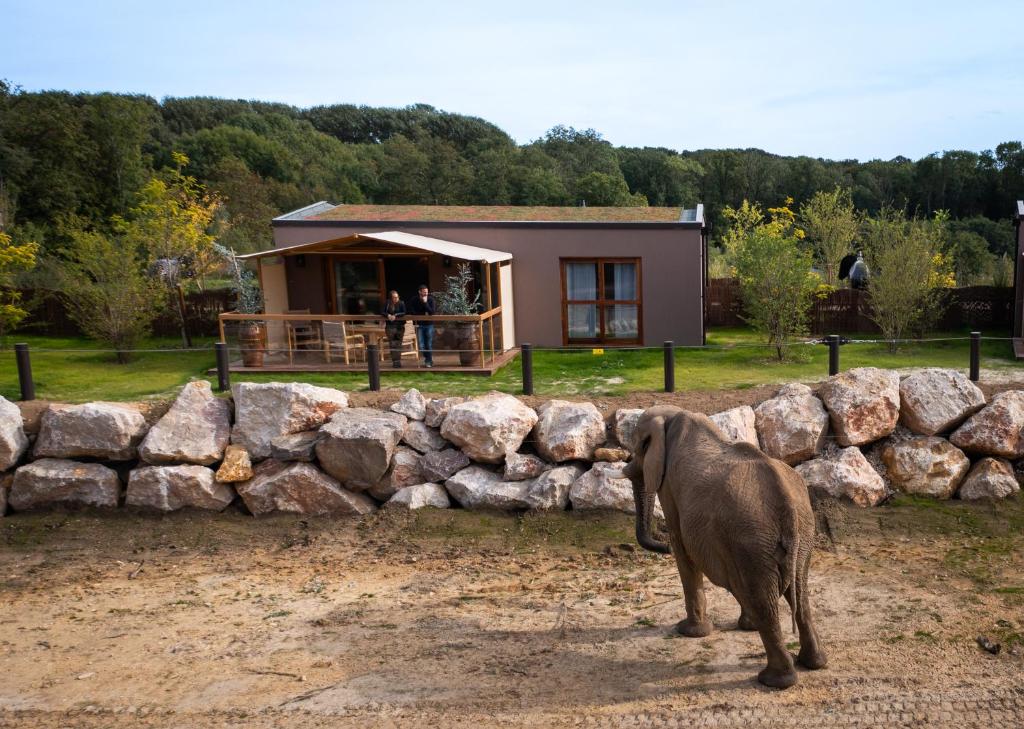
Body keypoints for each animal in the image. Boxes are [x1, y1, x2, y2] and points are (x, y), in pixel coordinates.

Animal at [622, 405, 827, 689]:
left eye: (638, 448)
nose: (661, 547)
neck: (675, 416)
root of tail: (785, 501)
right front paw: (746, 626)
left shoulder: (670, 487)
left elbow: (682, 546)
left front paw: (689, 632)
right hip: (800, 532)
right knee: (798, 590)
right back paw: (814, 663)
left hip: (752, 539)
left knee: (764, 598)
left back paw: (773, 680)